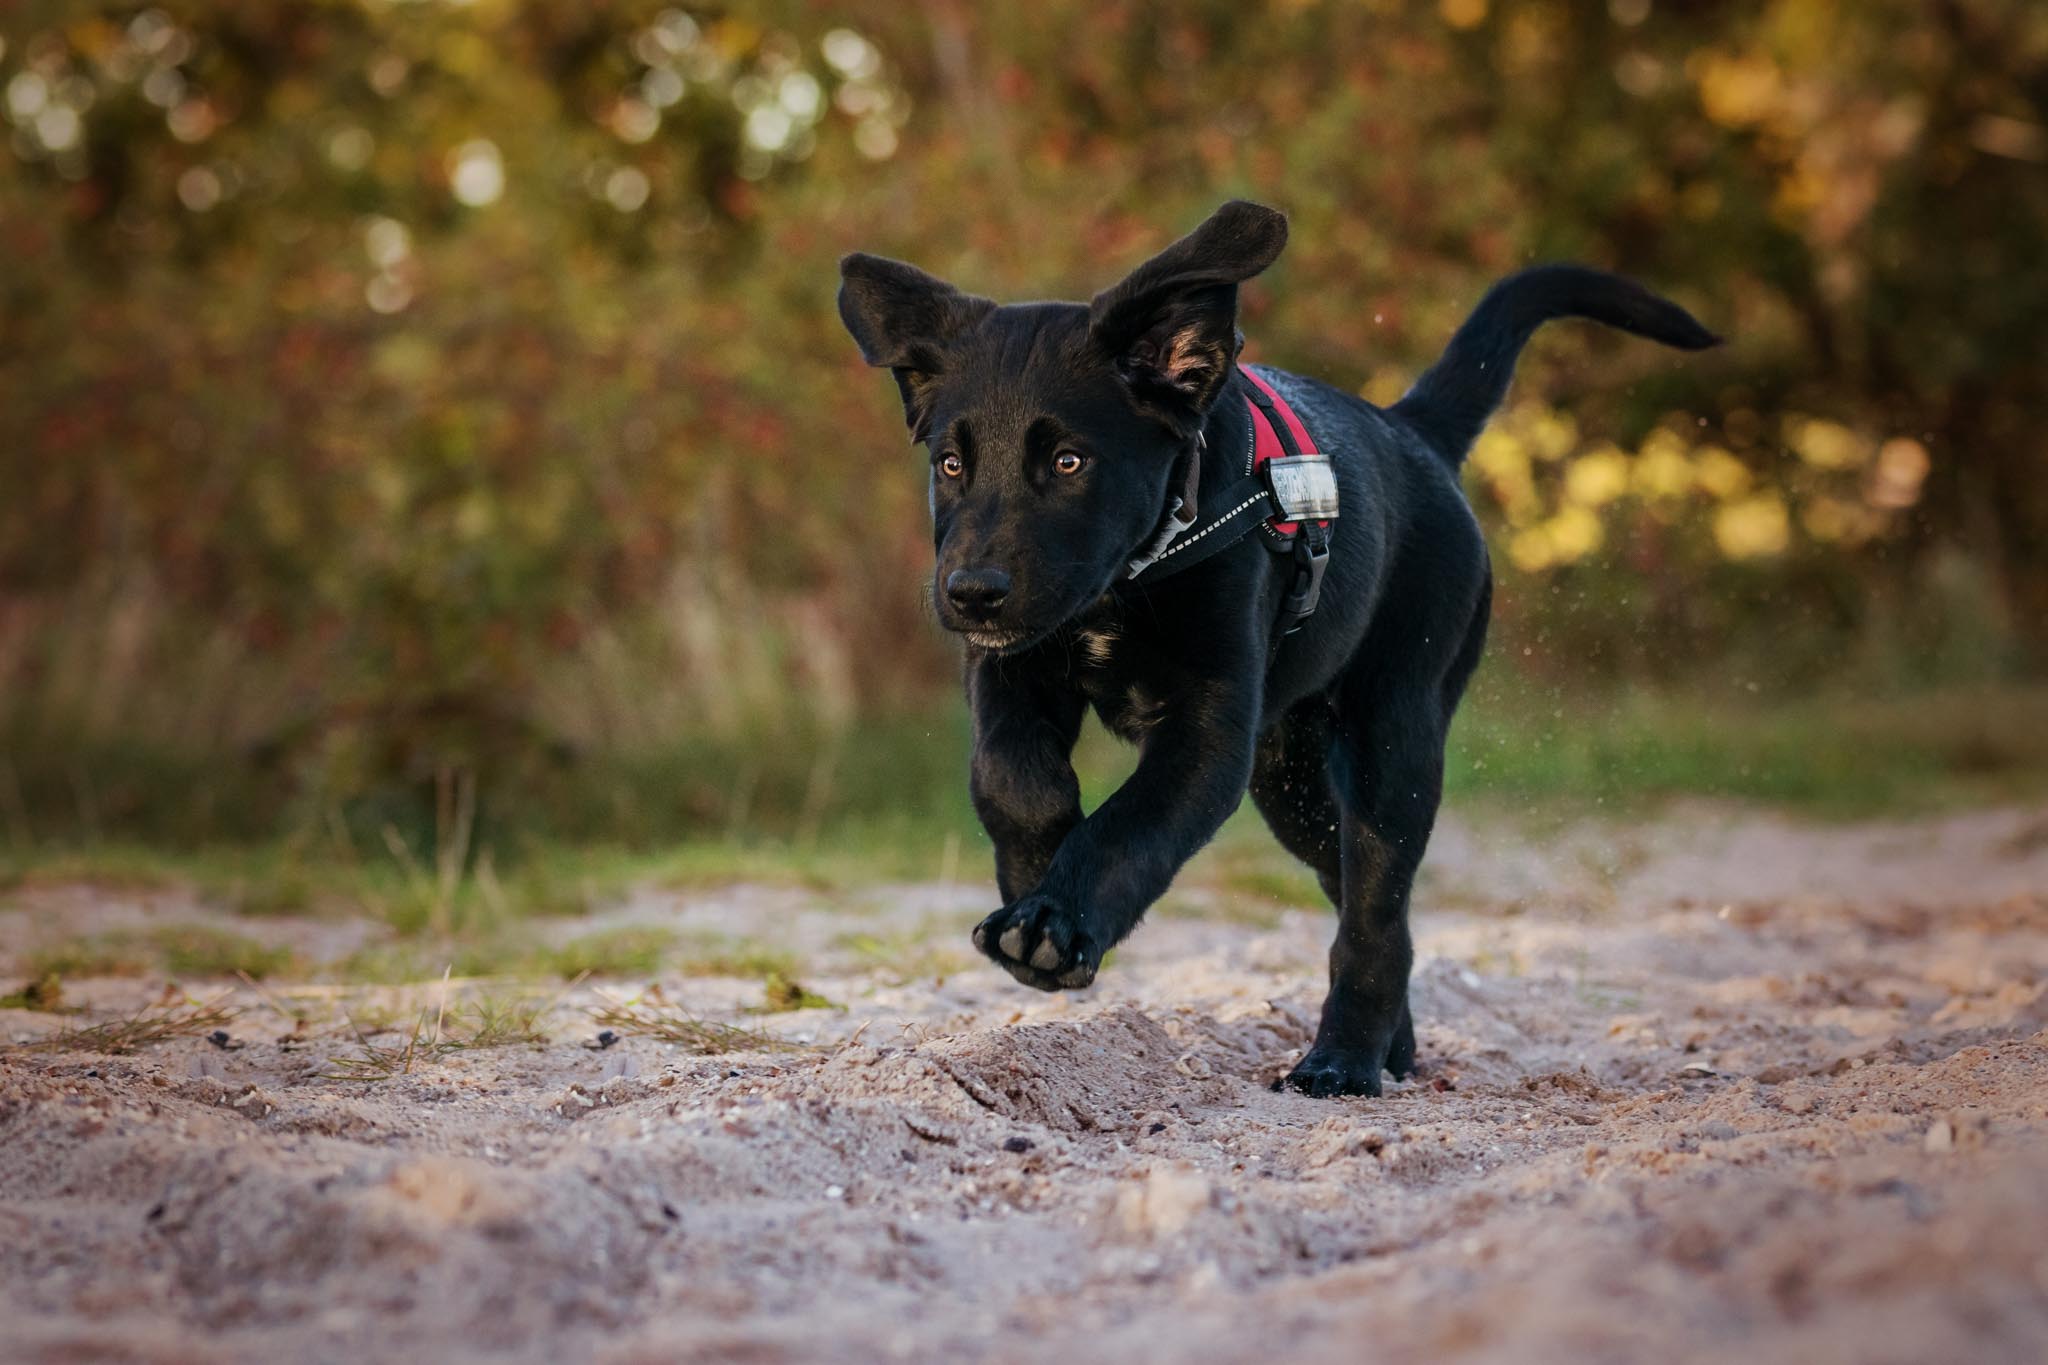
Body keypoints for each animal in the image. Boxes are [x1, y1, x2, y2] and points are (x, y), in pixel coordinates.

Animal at [837, 201, 1716, 1096]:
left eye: (1069, 460)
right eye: (951, 463)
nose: (969, 591)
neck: (1137, 570)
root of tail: (1412, 433)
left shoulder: (1208, 730)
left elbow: (1128, 826)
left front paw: (1053, 921)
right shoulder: (1014, 664)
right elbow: (1011, 775)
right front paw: (1034, 874)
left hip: (1394, 733)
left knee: (1374, 909)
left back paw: (1343, 1062)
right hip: (1290, 778)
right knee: (1354, 885)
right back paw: (1393, 1046)